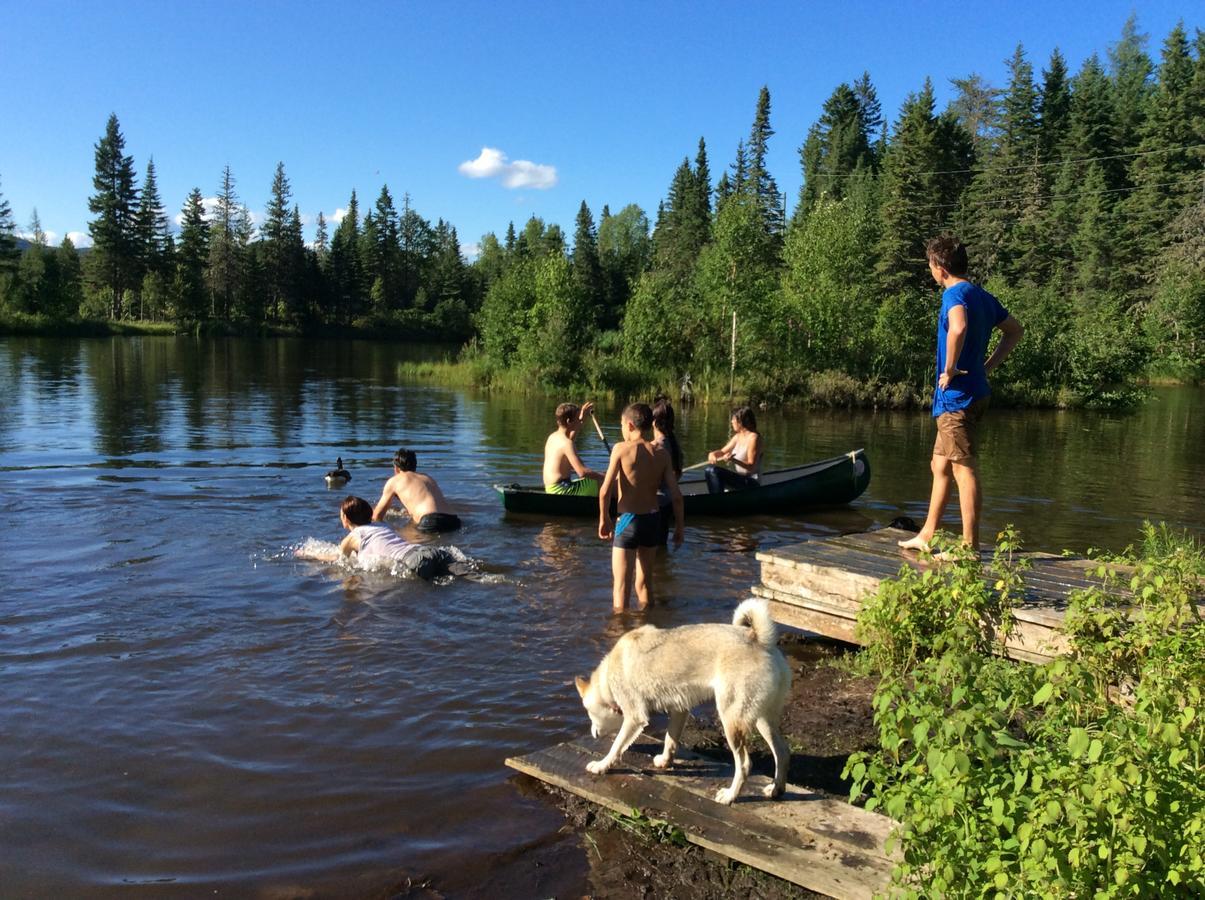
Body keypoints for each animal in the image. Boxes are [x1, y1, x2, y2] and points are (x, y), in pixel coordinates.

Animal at [573, 602, 790, 804]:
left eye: (589, 714)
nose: (593, 734)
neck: (607, 680)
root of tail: (758, 638)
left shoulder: (635, 718)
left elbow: (616, 747)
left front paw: (601, 766)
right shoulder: (680, 710)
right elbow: (670, 739)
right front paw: (665, 761)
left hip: (732, 721)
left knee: (745, 764)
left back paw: (730, 796)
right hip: (762, 719)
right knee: (782, 752)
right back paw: (776, 789)